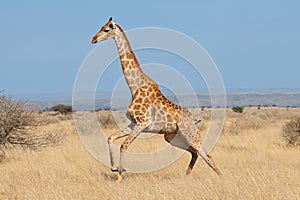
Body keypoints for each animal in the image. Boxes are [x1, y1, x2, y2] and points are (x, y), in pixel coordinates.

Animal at [91, 17, 220, 181]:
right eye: (101, 27)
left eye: (106, 29)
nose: (93, 39)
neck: (135, 87)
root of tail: (193, 119)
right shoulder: (134, 123)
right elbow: (111, 138)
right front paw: (114, 168)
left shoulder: (143, 123)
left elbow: (124, 145)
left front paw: (119, 176)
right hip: (172, 137)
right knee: (194, 153)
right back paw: (186, 176)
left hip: (191, 135)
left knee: (207, 156)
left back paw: (221, 177)